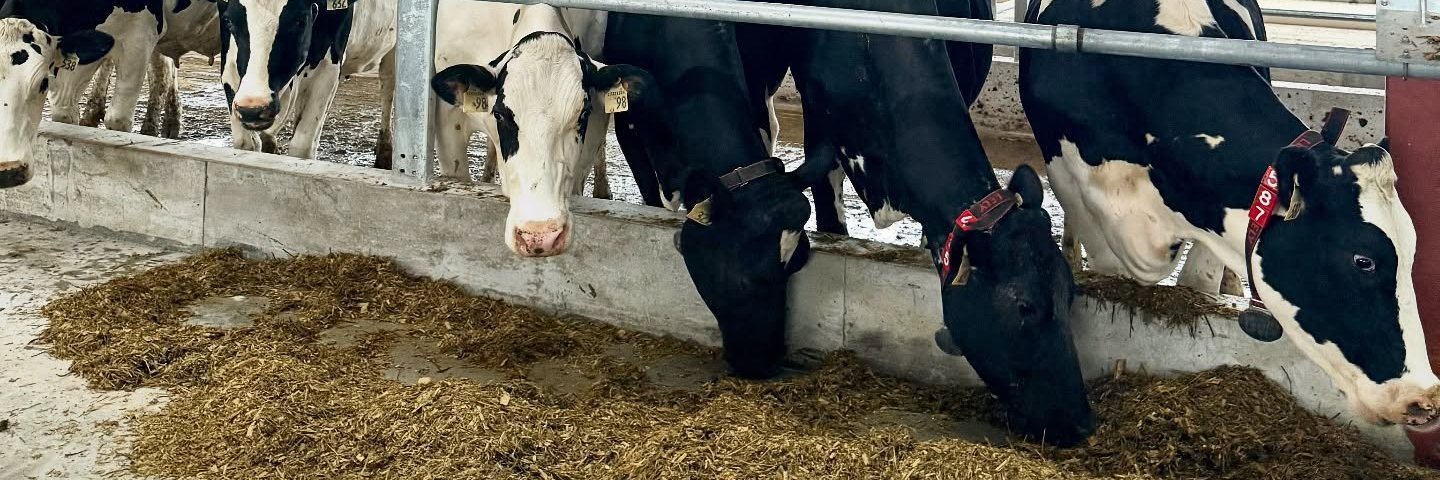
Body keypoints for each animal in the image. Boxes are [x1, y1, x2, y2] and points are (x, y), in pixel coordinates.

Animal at [219, 0, 397, 167]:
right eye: (228, 20)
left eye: (300, 20)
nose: (253, 110)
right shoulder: (229, 66)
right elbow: (246, 143)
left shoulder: (328, 67)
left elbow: (302, 146)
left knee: (388, 86)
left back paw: (385, 152)